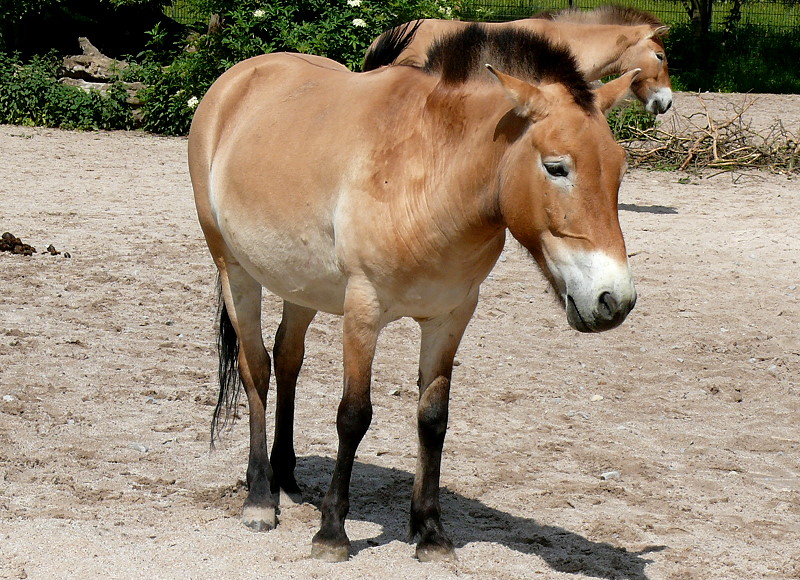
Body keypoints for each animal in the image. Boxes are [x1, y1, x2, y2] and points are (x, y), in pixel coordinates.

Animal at [188, 23, 636, 560]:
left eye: (619, 168)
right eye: (556, 167)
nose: (614, 301)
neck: (426, 175)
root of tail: (237, 79)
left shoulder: (451, 316)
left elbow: (433, 418)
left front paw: (430, 532)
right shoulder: (363, 309)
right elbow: (353, 416)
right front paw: (332, 532)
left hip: (300, 284)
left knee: (287, 359)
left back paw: (286, 477)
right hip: (235, 271)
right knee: (256, 369)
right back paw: (259, 497)